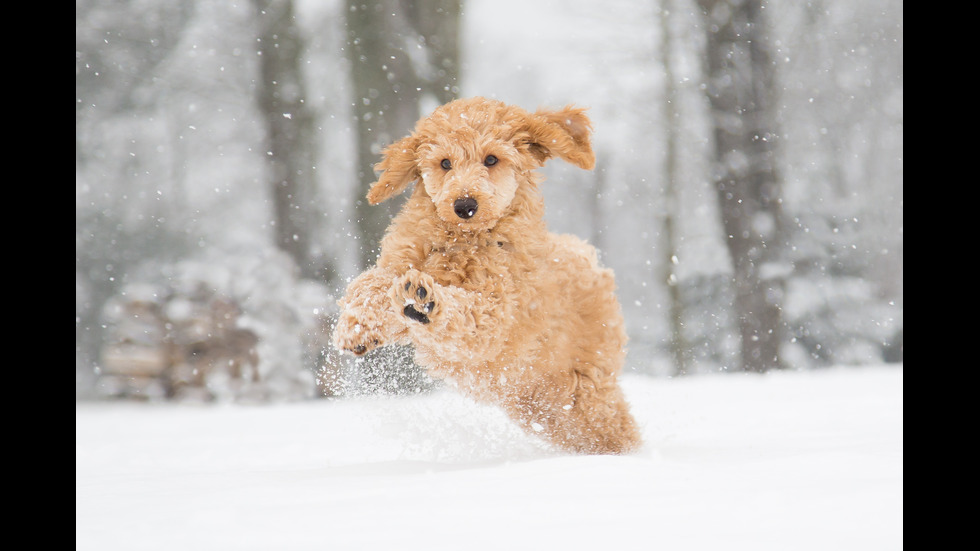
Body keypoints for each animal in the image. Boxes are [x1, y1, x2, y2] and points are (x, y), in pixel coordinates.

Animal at [334, 96, 644, 458]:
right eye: (445, 163)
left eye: (492, 159)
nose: (465, 205)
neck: (463, 241)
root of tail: (590, 262)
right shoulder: (401, 261)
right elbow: (370, 284)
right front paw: (355, 329)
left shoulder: (496, 312)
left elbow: (468, 313)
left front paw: (427, 302)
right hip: (538, 404)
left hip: (585, 388)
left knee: (614, 427)